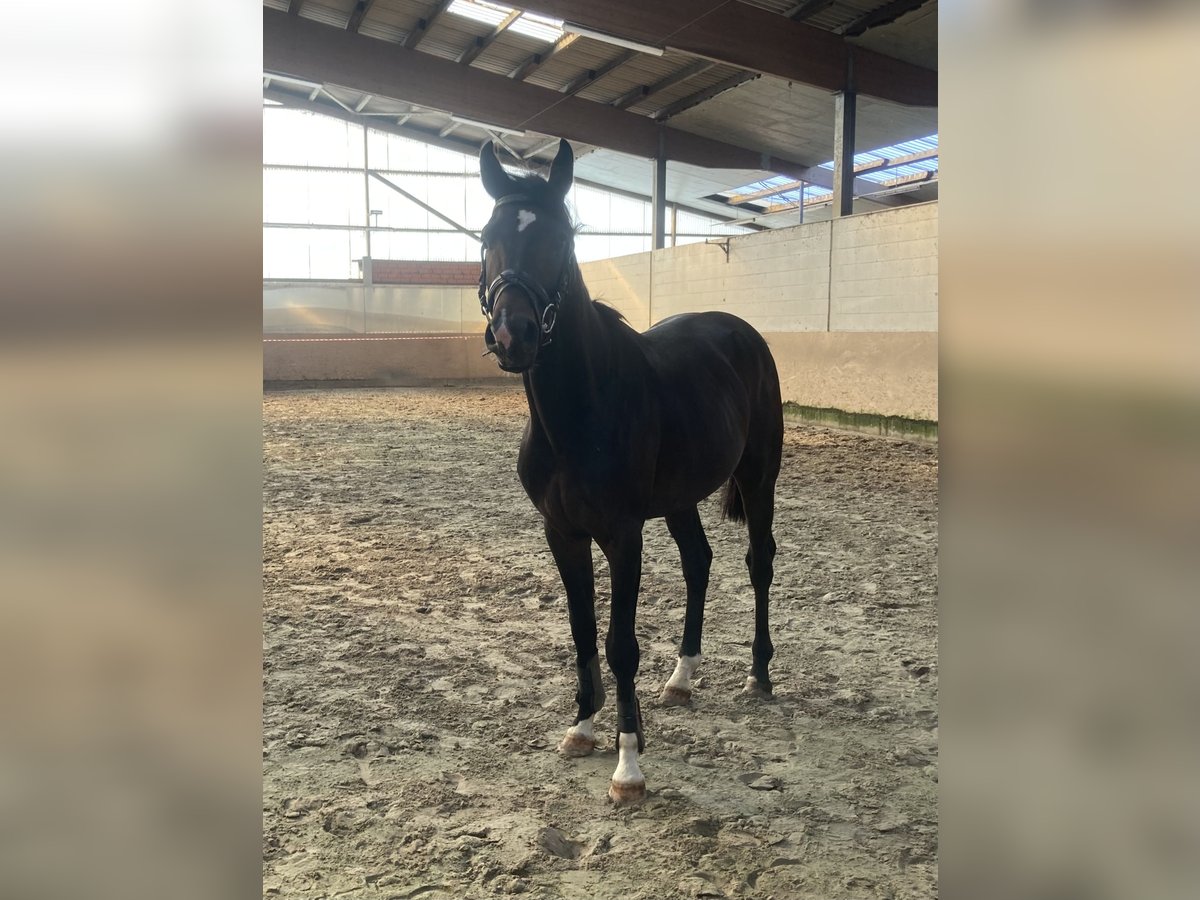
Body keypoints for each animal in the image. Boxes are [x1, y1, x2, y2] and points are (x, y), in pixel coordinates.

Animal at [477, 142, 787, 811]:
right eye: (488, 236)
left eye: (561, 238)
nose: (514, 336)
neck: (581, 411)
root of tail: (742, 332)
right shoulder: (562, 533)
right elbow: (583, 630)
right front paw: (581, 729)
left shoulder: (622, 534)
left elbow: (620, 643)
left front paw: (628, 765)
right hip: (680, 498)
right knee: (699, 562)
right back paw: (682, 679)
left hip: (759, 478)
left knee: (759, 562)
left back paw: (759, 673)